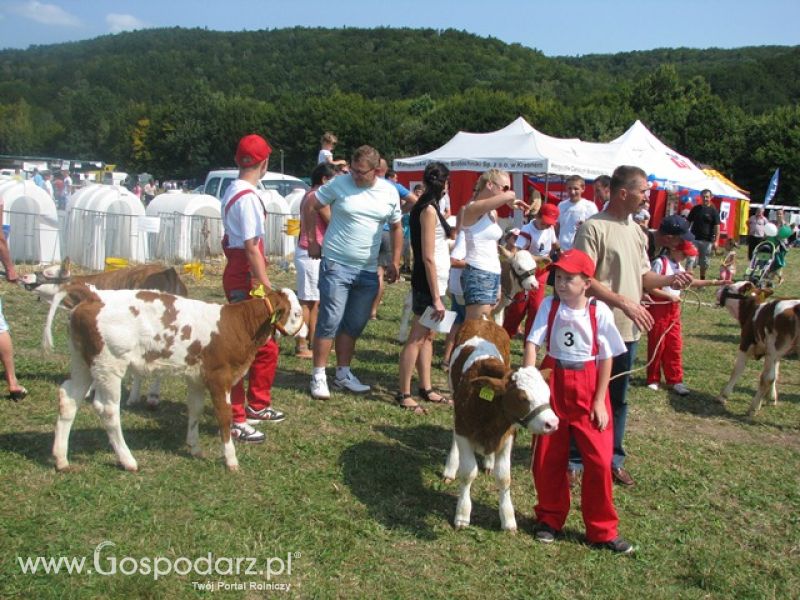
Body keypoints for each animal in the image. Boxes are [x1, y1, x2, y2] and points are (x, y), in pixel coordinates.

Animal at [50, 286, 306, 474]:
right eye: (296, 313)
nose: (304, 332)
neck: (238, 325)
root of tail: (94, 296)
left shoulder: (196, 377)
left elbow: (195, 409)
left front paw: (194, 448)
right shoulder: (219, 377)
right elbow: (224, 417)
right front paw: (231, 460)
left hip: (83, 363)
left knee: (69, 398)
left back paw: (61, 459)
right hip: (109, 366)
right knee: (108, 409)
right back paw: (128, 460)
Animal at [440, 318, 560, 528]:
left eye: (547, 392)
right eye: (522, 397)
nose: (552, 423)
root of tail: (484, 320)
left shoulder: (508, 435)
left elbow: (504, 478)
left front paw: (508, 518)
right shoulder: (463, 429)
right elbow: (468, 472)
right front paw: (462, 514)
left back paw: (489, 461)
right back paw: (451, 467)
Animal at [716, 280, 796, 412]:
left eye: (728, 288)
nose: (717, 290)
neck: (754, 311)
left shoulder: (745, 344)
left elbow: (738, 369)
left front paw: (723, 396)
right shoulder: (777, 354)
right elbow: (775, 374)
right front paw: (772, 398)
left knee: (766, 378)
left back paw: (753, 408)